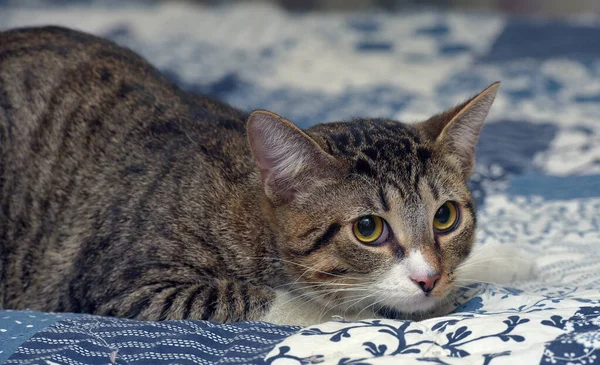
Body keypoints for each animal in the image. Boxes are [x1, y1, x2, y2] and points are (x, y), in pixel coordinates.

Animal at [0, 27, 528, 326]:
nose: (430, 278)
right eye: (368, 228)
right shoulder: (126, 286)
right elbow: (280, 301)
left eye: (445, 217)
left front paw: (505, 263)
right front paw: (343, 312)